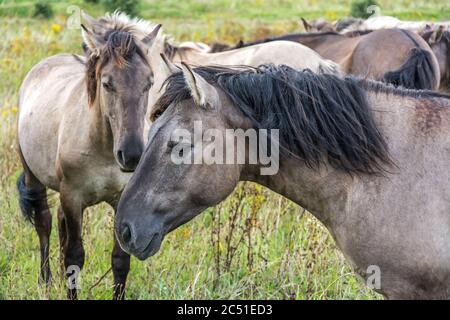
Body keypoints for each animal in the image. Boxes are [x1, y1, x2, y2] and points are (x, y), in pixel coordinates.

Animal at [18, 17, 162, 298]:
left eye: (149, 83)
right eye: (107, 83)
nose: (131, 155)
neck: (103, 149)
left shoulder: (119, 199)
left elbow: (120, 259)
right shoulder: (73, 196)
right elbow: (74, 257)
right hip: (34, 178)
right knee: (44, 223)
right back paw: (46, 281)